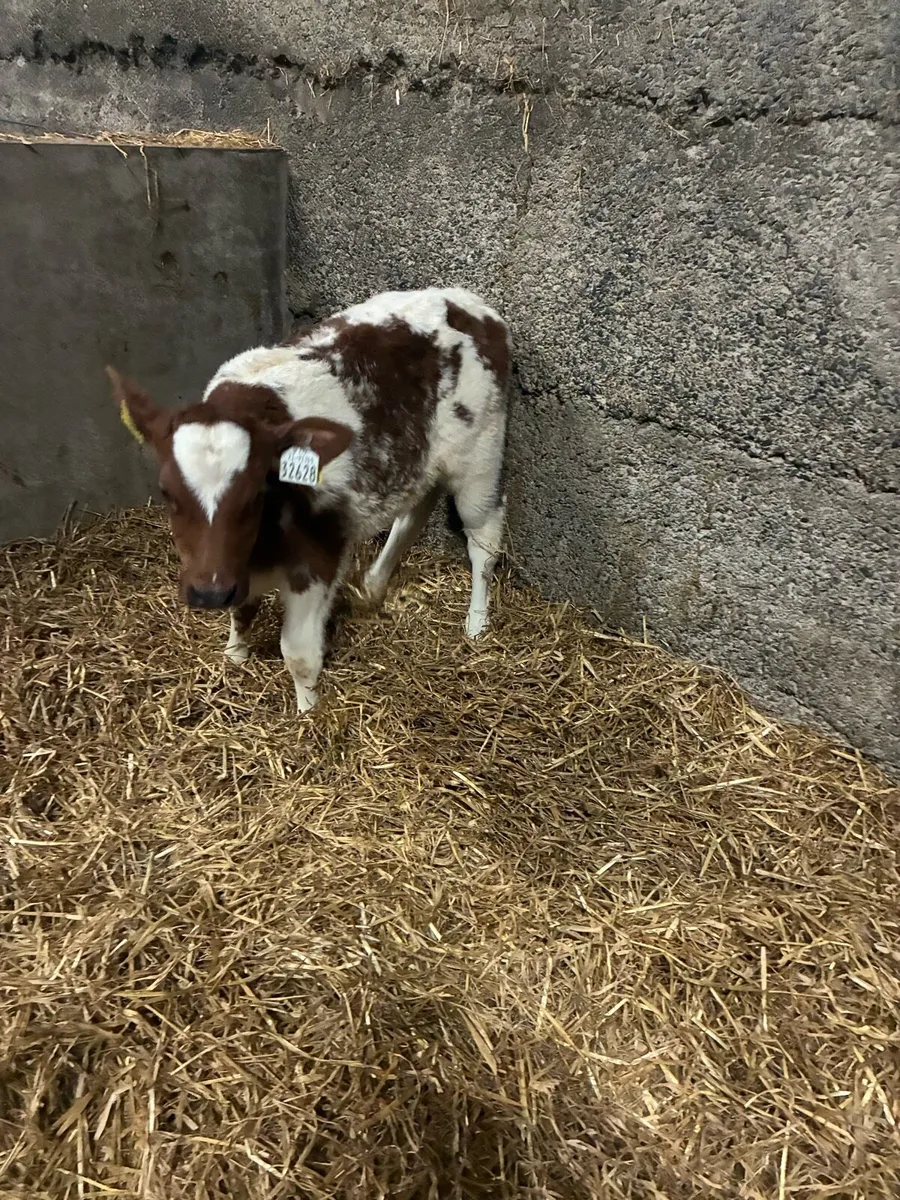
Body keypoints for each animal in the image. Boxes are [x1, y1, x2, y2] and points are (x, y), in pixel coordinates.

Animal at [107, 287, 510, 713]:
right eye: (166, 492)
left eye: (255, 492)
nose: (208, 593)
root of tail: (467, 301)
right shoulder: (233, 566)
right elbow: (242, 609)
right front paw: (234, 655)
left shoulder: (321, 552)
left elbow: (298, 652)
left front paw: (308, 713)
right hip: (423, 460)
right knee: (414, 512)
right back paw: (373, 584)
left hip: (480, 456)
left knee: (483, 540)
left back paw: (476, 624)